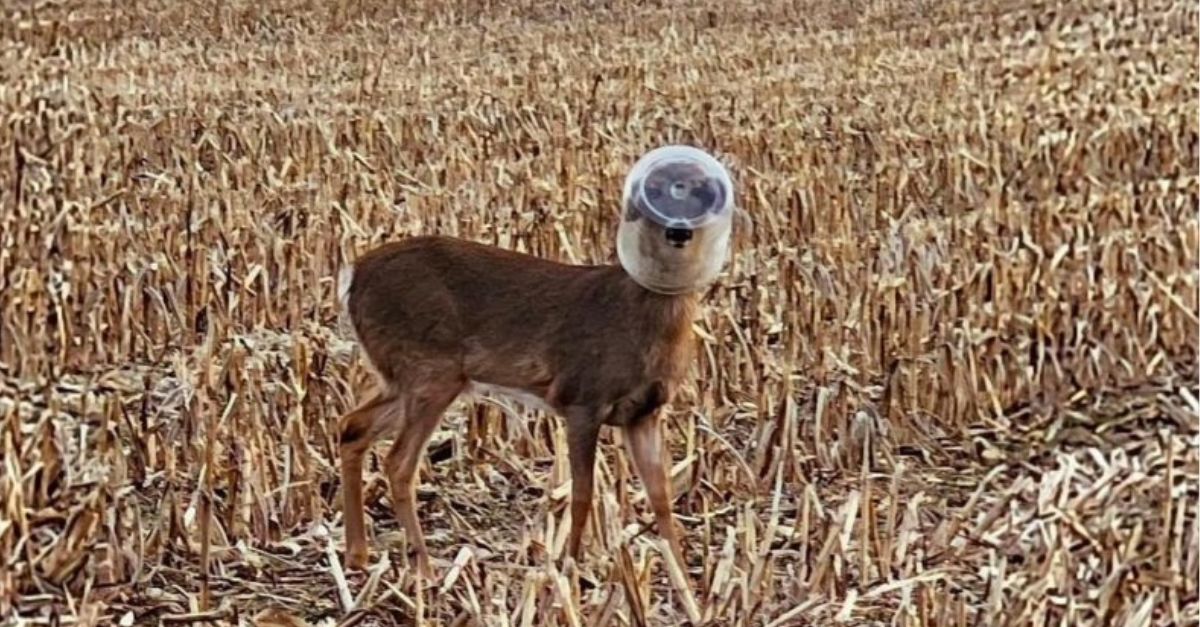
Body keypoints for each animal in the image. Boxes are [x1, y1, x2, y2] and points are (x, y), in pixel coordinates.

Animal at [333, 146, 734, 576]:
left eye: (702, 192)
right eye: (654, 190)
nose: (678, 231)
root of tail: (353, 276)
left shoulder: (644, 413)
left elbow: (661, 496)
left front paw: (683, 574)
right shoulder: (582, 397)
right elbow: (583, 493)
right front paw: (572, 565)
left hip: (407, 377)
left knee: (353, 427)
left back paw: (358, 555)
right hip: (428, 370)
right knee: (398, 462)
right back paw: (424, 568)